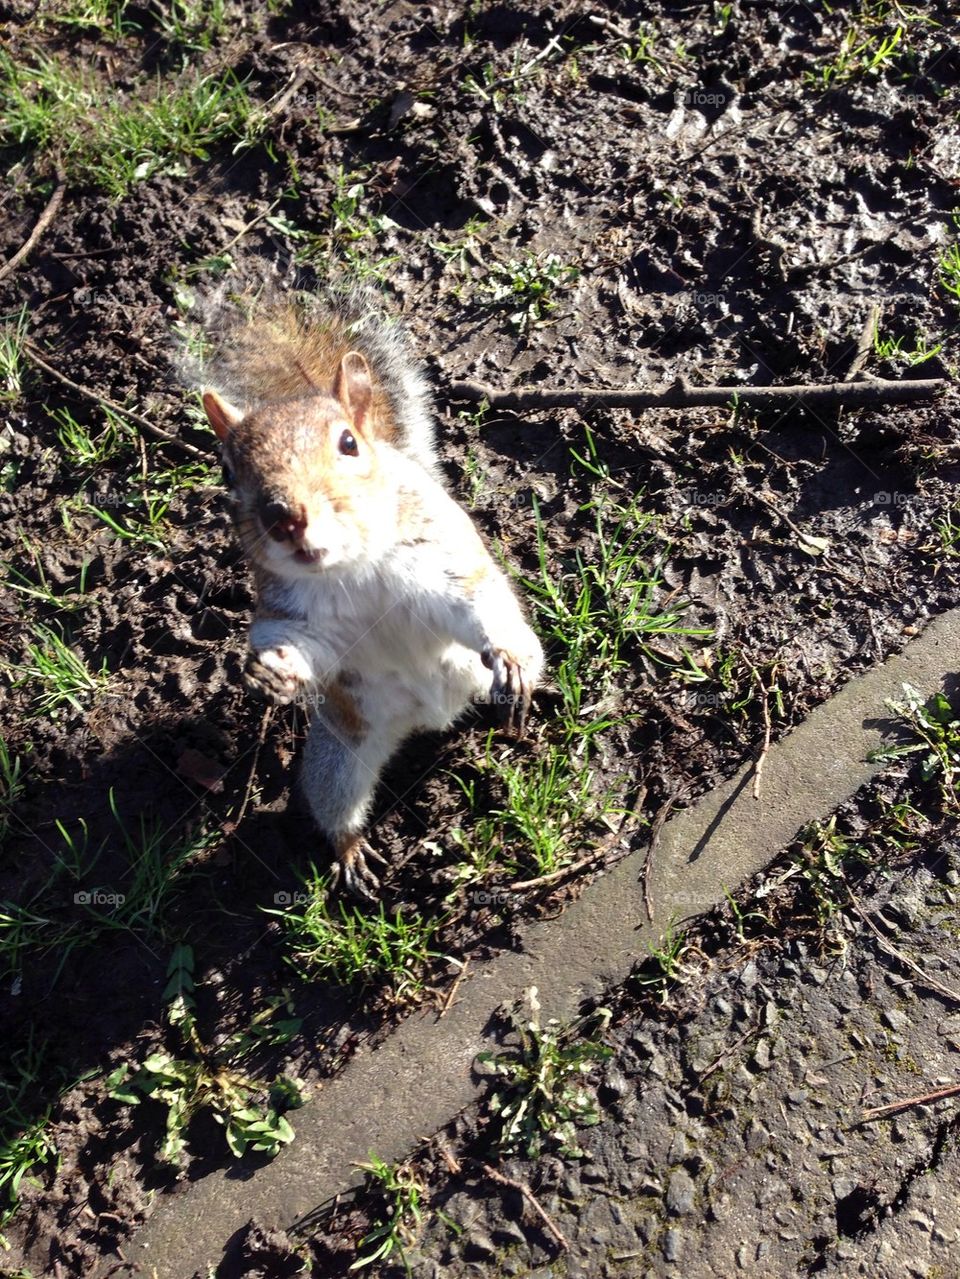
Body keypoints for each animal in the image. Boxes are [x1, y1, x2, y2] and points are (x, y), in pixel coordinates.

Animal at [183, 283, 544, 896]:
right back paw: (351, 853)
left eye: (349, 444)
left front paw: (510, 658)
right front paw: (271, 673)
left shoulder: (442, 562)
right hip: (339, 755)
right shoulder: (293, 614)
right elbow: (304, 647)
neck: (352, 568)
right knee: (337, 803)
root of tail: (429, 718)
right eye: (228, 472)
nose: (284, 517)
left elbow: (474, 604)